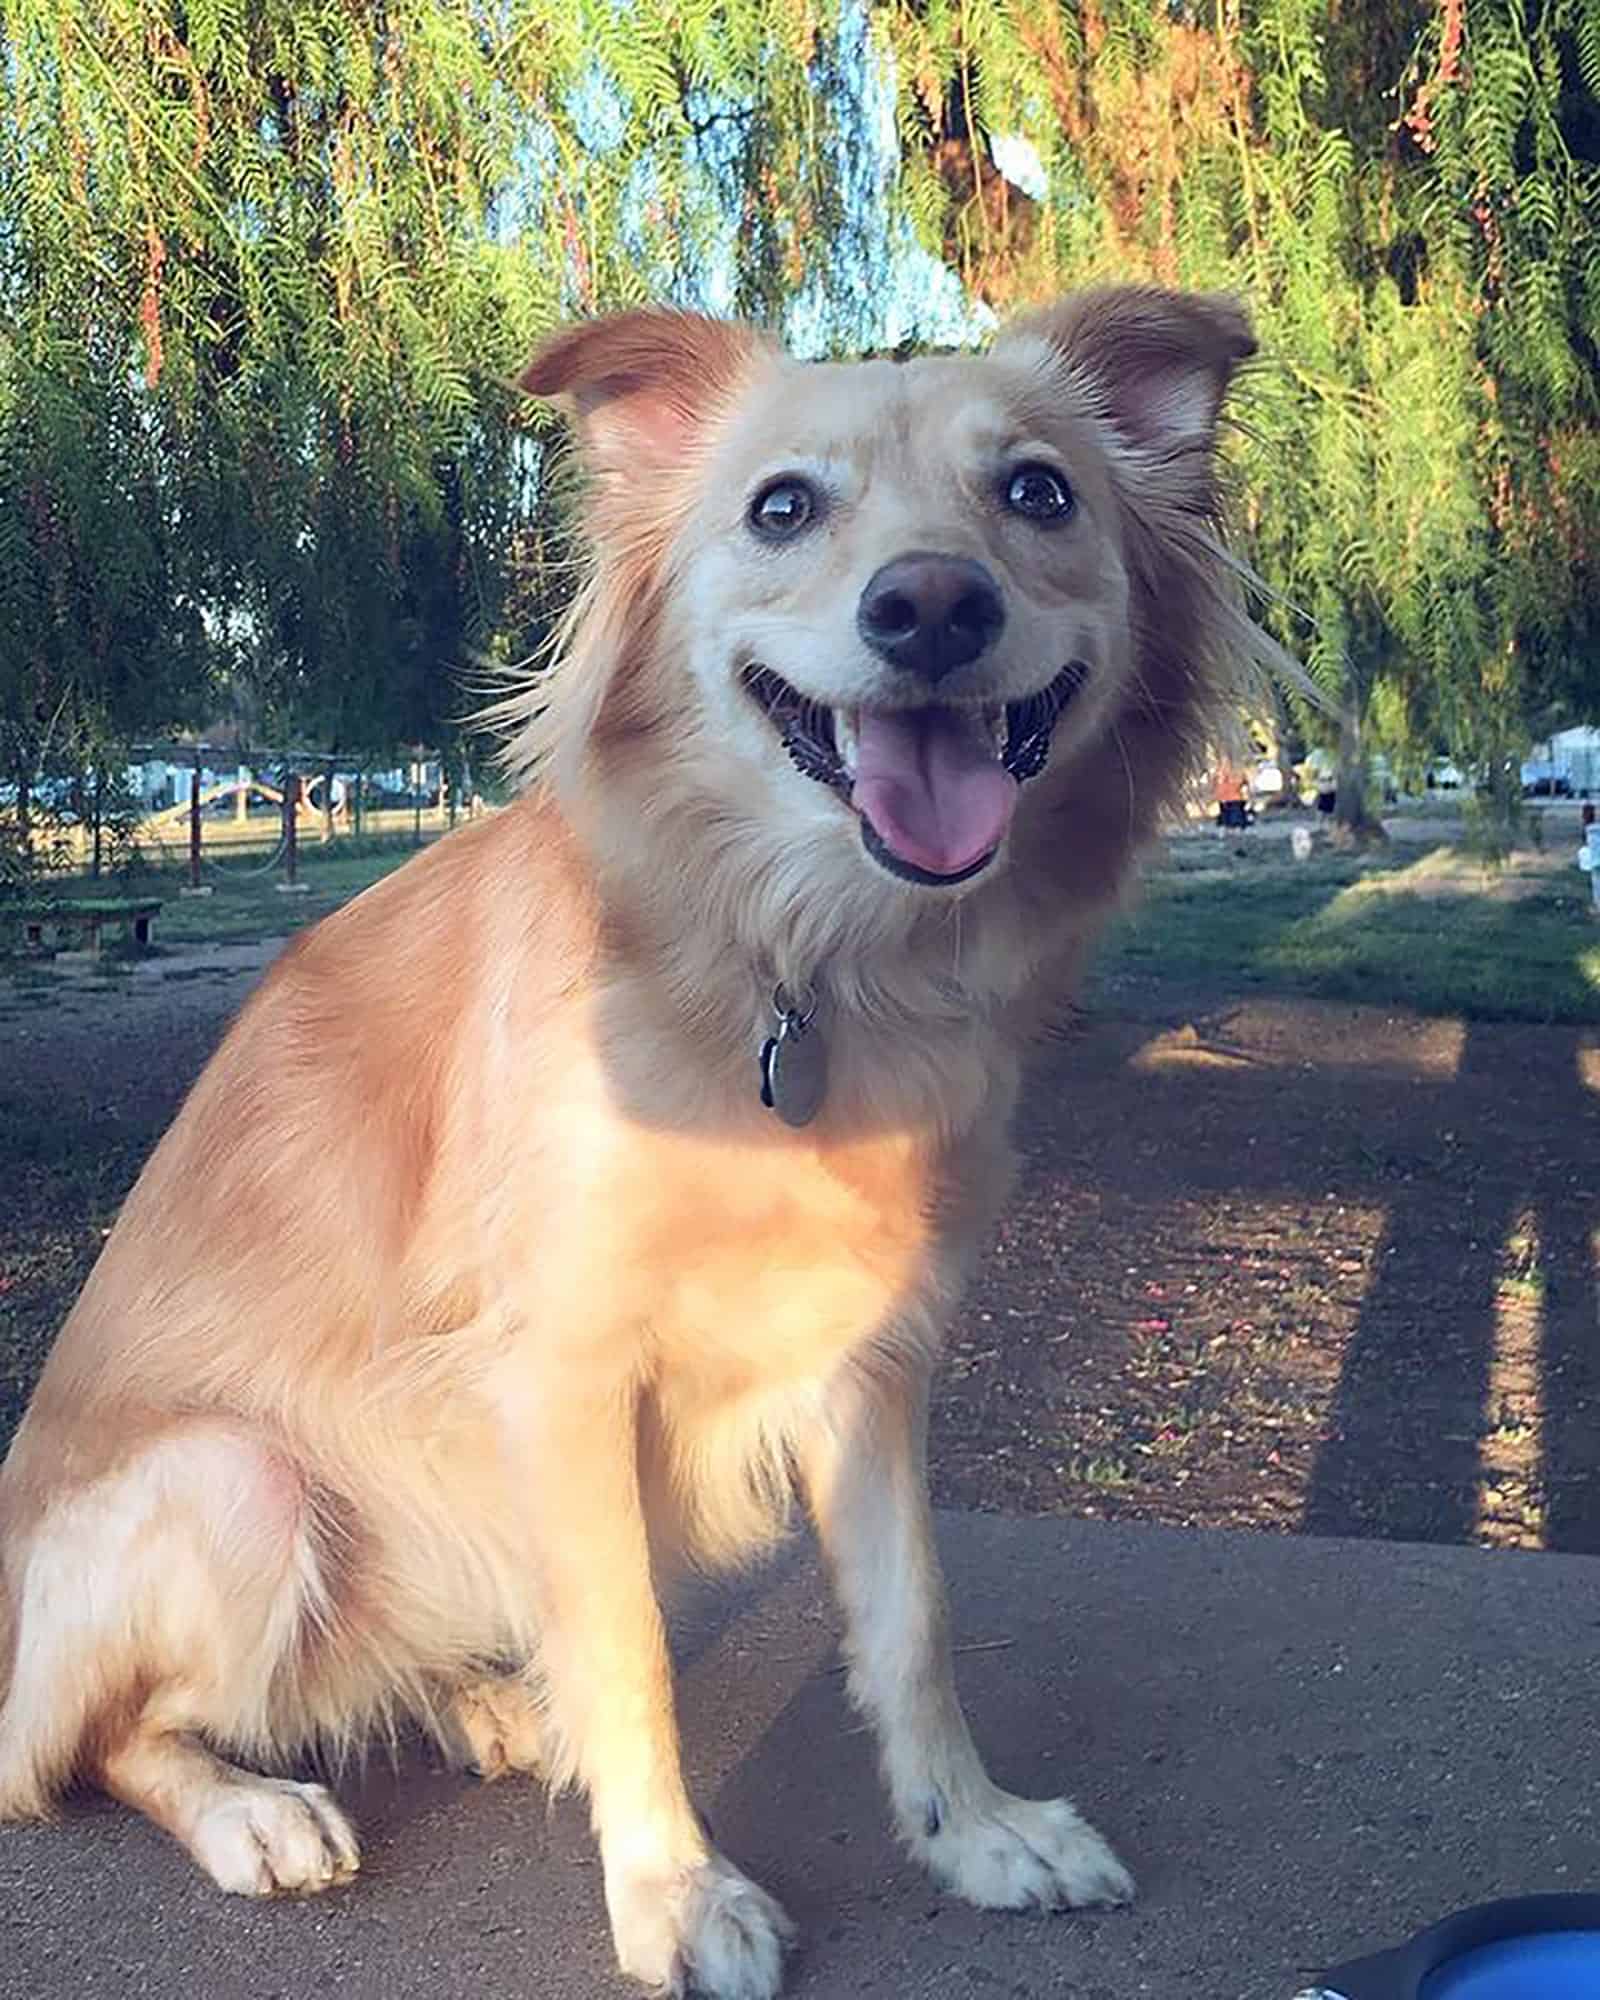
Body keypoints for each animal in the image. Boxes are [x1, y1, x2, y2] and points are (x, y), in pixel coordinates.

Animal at [0, 290, 1272, 1992]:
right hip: (242, 1485)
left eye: (1038, 493)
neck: (800, 961)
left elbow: (912, 1624)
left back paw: (478, 1702)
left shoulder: (869, 1363)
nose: (931, 607)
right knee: (106, 1746)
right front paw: (672, 1891)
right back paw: (251, 1810)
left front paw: (974, 1833)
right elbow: (635, 1654)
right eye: (781, 508)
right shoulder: (564, 1379)